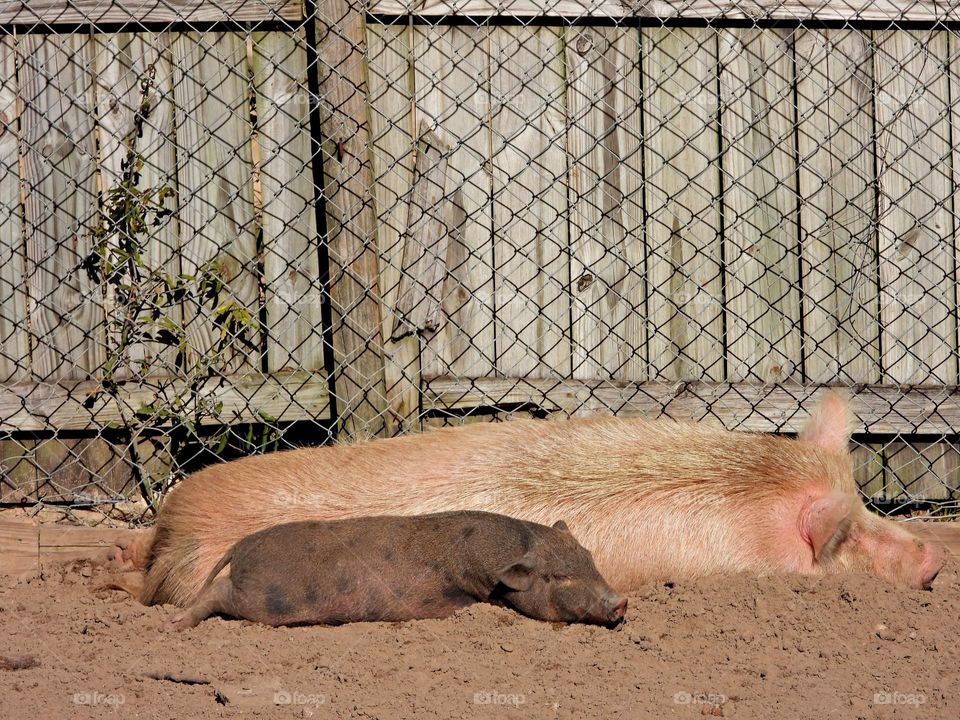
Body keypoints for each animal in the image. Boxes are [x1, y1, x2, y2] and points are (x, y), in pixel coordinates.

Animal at [169, 512, 628, 632]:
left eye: (590, 560)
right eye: (559, 577)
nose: (622, 600)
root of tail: (239, 545)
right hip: (263, 600)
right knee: (217, 594)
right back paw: (176, 625)